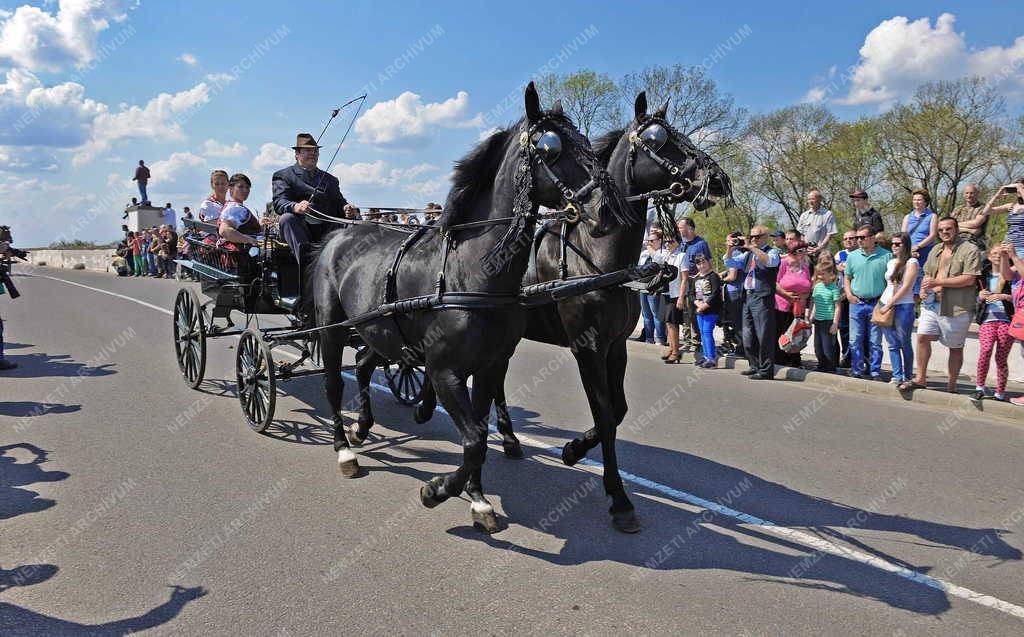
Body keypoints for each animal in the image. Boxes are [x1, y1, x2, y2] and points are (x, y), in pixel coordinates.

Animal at [307, 85, 626, 532]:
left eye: (587, 143)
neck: (471, 273)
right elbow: (474, 440)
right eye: (550, 148)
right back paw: (344, 449)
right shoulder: (444, 371)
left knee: (367, 365)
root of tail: (337, 234)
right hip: (333, 328)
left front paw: (476, 498)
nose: (607, 210)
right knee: (334, 384)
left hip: (379, 331)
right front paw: (436, 491)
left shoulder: (490, 365)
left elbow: (479, 431)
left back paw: (361, 428)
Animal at [354, 93, 737, 532]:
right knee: (381, 359)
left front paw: (574, 450)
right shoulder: (587, 347)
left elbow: (618, 411)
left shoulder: (615, 346)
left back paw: (500, 436)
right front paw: (617, 496)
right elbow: (606, 415)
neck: (597, 255)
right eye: (659, 139)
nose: (719, 180)